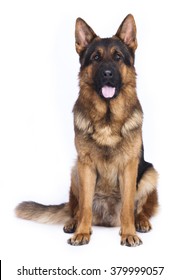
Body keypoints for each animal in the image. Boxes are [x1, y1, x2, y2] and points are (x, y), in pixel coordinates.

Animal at [16, 14, 158, 247]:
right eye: (96, 58)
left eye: (118, 57)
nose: (108, 74)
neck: (107, 119)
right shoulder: (86, 165)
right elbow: (85, 207)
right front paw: (82, 232)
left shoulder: (129, 166)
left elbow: (128, 206)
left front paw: (129, 233)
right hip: (76, 170)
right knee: (77, 208)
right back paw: (74, 223)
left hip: (150, 173)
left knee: (142, 208)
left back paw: (141, 222)